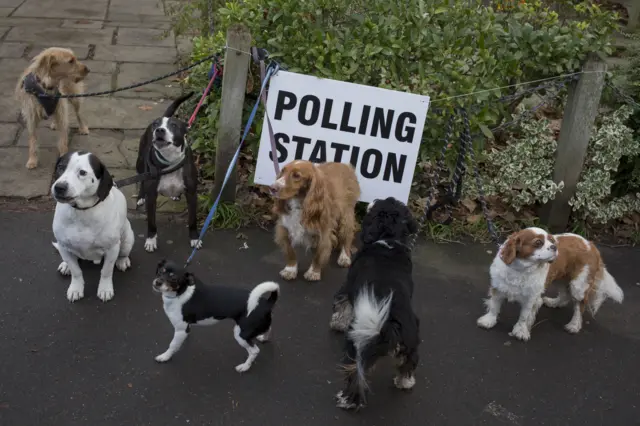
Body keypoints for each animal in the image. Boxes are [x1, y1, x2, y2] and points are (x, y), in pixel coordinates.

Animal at [51, 151, 135, 302]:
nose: (59, 187)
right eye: (60, 167)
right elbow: (76, 271)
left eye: (82, 172)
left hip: (127, 239)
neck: (82, 212)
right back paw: (65, 265)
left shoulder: (112, 249)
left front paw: (105, 289)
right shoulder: (64, 246)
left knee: (124, 252)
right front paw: (76, 288)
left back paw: (122, 260)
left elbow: (106, 271)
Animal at [136, 91, 201, 253]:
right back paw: (140, 197)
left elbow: (193, 220)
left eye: (173, 125)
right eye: (156, 124)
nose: (159, 130)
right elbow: (151, 222)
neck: (170, 162)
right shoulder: (152, 196)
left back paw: (176, 195)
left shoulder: (192, 194)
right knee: (140, 179)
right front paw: (151, 240)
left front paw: (194, 238)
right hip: (140, 162)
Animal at [154, 258, 282, 372]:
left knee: (254, 351)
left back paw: (245, 367)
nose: (157, 282)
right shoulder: (185, 329)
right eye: (161, 271)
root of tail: (266, 303)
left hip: (241, 334)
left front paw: (165, 357)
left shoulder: (181, 329)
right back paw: (263, 338)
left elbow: (172, 345)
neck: (180, 294)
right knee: (269, 328)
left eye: (174, 278)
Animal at [330, 198, 420, 412]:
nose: (373, 200)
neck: (388, 240)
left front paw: (337, 324)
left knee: (356, 375)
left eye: (384, 202)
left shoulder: (347, 287)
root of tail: (391, 324)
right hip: (411, 342)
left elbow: (342, 307)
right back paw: (405, 382)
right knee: (408, 363)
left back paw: (346, 399)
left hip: (358, 344)